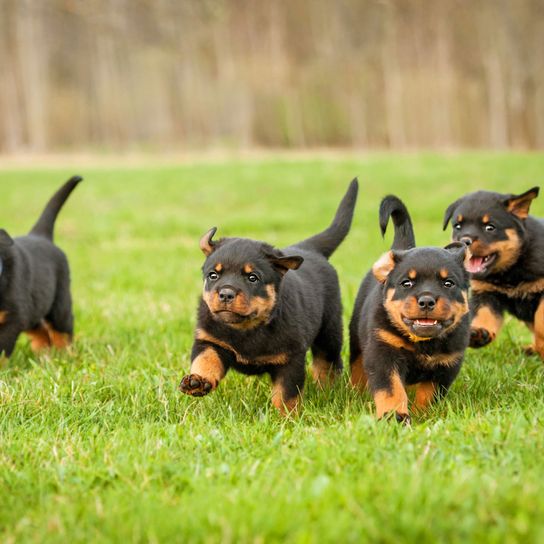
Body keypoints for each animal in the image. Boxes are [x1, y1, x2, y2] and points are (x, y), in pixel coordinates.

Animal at [0, 176, 82, 360]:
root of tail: (40, 235)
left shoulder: (13, 316)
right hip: (36, 305)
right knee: (40, 333)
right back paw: (44, 357)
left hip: (59, 305)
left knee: (62, 332)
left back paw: (64, 356)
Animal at [178, 181, 360, 414]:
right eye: (213, 275)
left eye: (252, 278)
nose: (226, 293)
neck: (246, 328)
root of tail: (308, 248)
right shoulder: (209, 340)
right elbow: (205, 360)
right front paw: (197, 380)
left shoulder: (291, 359)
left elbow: (286, 393)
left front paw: (286, 417)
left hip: (330, 330)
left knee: (327, 362)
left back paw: (327, 391)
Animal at [348, 198, 472, 422]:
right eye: (407, 283)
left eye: (448, 283)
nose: (426, 301)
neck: (423, 343)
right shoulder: (383, 353)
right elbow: (391, 389)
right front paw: (394, 416)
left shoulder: (447, 364)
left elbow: (429, 393)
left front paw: (422, 414)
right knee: (357, 367)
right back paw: (356, 392)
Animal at [442, 186, 544, 356]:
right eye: (458, 226)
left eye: (490, 227)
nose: (464, 241)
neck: (509, 272)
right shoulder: (485, 293)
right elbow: (485, 315)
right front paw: (479, 333)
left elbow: (540, 320)